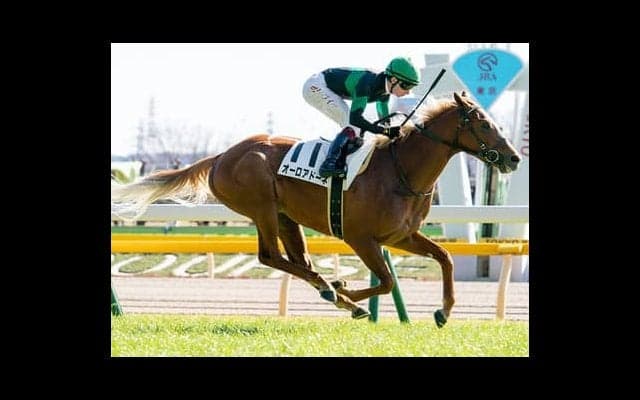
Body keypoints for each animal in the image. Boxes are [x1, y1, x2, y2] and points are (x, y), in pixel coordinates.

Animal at [111, 91, 521, 327]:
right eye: (483, 123)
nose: (514, 158)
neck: (400, 169)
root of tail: (221, 156)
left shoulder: (400, 235)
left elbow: (445, 258)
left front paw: (443, 311)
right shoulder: (361, 238)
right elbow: (387, 281)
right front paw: (347, 292)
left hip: (286, 217)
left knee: (297, 259)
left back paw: (331, 290)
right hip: (262, 207)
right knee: (269, 256)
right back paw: (330, 289)